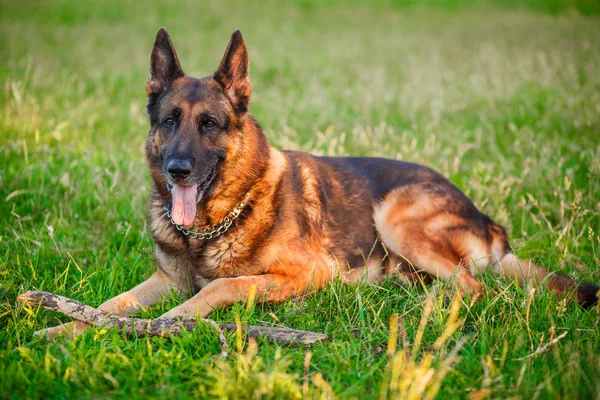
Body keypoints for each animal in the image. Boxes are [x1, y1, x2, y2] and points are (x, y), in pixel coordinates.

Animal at [41, 29, 596, 340]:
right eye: (170, 121)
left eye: (209, 124)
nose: (177, 168)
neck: (218, 221)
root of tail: (490, 223)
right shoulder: (164, 280)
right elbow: (110, 307)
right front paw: (59, 326)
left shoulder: (303, 272)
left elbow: (220, 286)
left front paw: (163, 324)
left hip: (397, 215)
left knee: (472, 288)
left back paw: (422, 310)